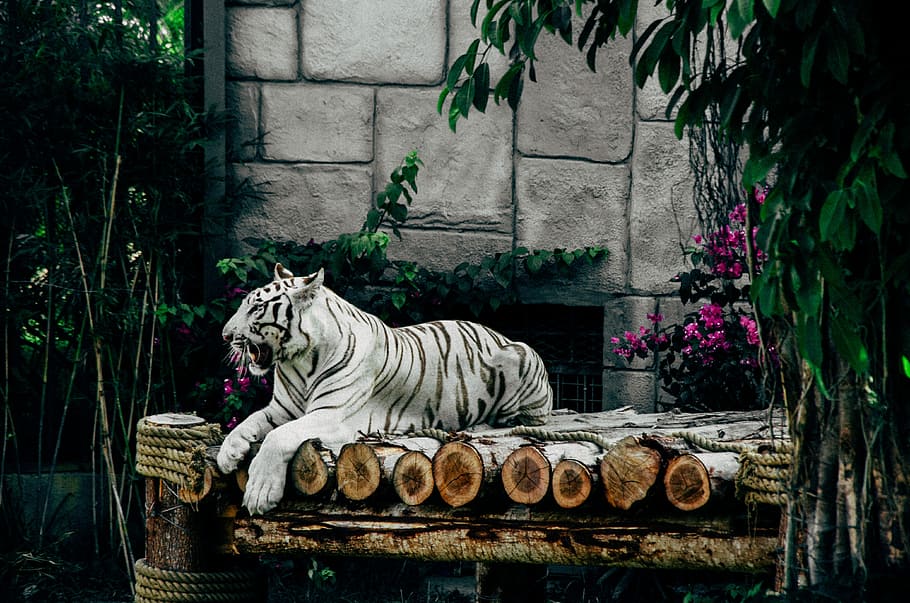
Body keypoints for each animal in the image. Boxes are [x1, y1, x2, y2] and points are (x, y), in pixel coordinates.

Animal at [216, 263, 553, 514]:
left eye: (256, 309)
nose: (225, 335)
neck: (298, 361)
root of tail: (498, 333)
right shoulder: (281, 409)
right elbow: (250, 421)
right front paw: (229, 452)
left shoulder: (332, 415)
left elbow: (277, 436)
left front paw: (259, 493)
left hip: (521, 357)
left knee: (528, 417)